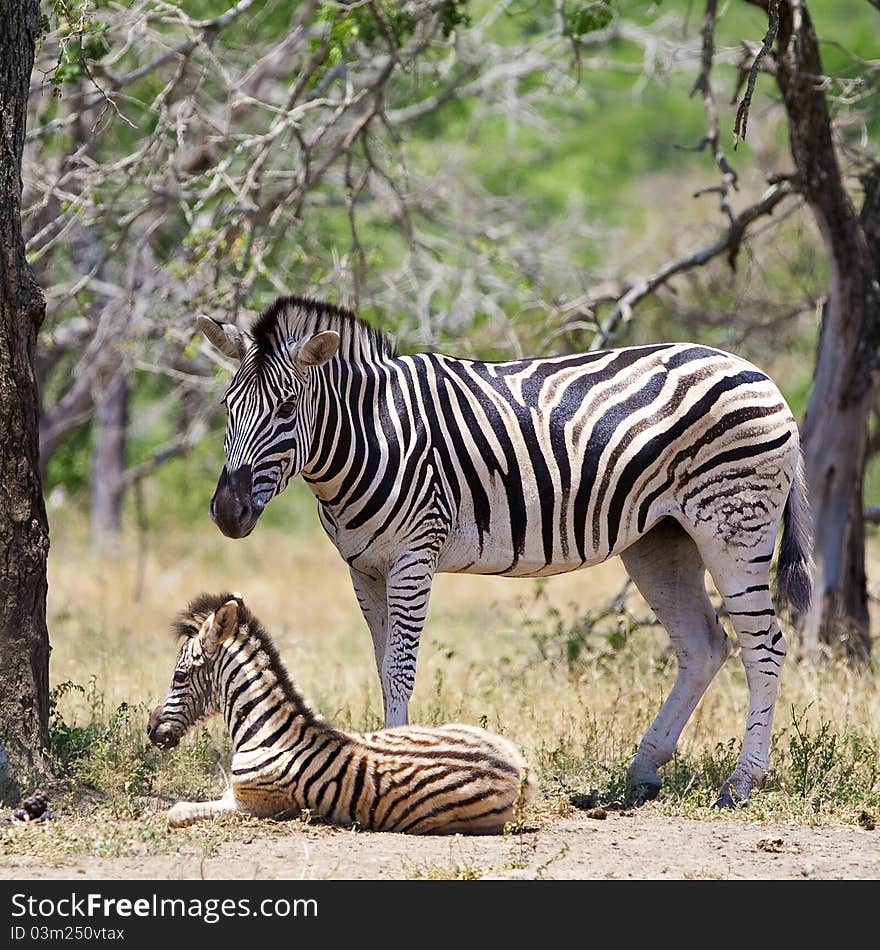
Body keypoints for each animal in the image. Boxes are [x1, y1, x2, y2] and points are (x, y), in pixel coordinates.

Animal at [147, 596, 532, 832]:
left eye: (179, 676)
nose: (151, 729)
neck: (269, 732)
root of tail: (516, 770)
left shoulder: (253, 804)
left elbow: (177, 812)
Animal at [199, 296, 812, 812]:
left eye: (287, 408)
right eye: (228, 405)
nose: (227, 512)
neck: (375, 433)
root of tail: (760, 374)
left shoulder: (413, 556)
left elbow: (399, 668)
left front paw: (392, 764)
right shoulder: (364, 569)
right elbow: (380, 664)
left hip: (734, 528)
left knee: (764, 647)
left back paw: (741, 783)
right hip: (661, 540)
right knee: (704, 645)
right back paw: (642, 771)